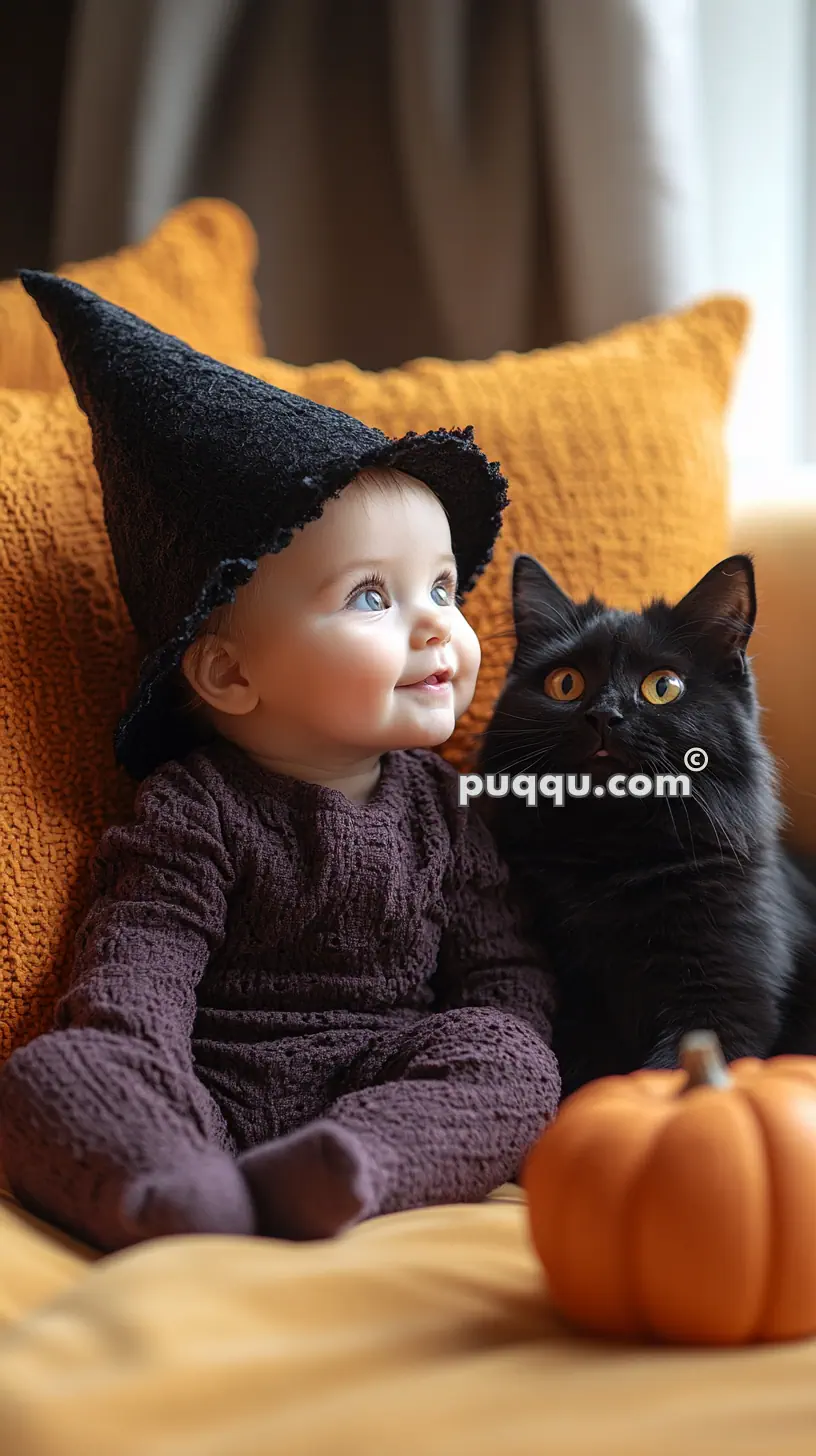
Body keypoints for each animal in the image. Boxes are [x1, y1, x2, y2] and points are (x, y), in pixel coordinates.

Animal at [477, 550, 816, 1094]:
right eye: (566, 683)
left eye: (663, 687)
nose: (603, 715)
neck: (612, 856)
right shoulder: (575, 1001)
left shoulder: (724, 993)